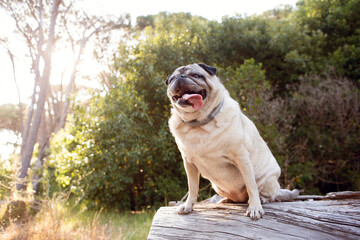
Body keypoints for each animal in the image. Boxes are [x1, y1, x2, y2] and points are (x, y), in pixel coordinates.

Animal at [165, 63, 298, 219]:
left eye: (196, 75)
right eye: (172, 79)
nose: (180, 77)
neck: (199, 123)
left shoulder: (241, 158)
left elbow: (251, 185)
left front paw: (255, 208)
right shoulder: (189, 163)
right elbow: (192, 187)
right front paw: (188, 205)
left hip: (267, 180)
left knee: (267, 194)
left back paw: (261, 200)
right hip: (219, 187)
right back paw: (226, 200)